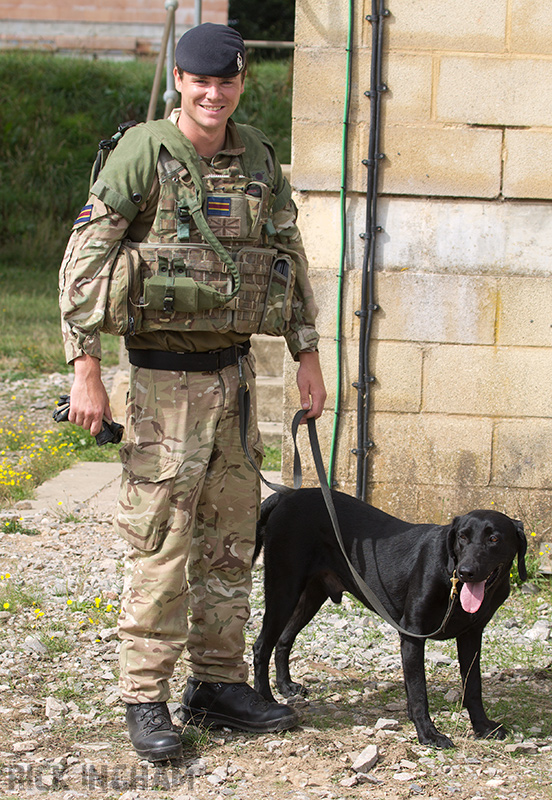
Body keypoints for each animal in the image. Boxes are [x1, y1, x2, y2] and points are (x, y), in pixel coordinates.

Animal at [252, 488, 528, 752]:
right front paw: (428, 734)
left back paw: (286, 686)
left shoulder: (471, 635)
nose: (466, 572)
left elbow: (473, 687)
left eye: (494, 539)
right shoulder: (412, 634)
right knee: (261, 646)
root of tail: (286, 496)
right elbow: (418, 692)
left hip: (311, 596)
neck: (452, 583)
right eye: (462, 537)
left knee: (283, 640)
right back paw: (265, 699)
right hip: (284, 590)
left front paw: (483, 727)